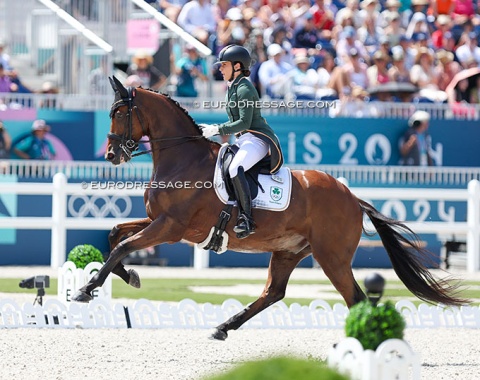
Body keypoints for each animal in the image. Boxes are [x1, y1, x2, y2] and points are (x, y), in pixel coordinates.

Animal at [73, 76, 466, 338]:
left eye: (119, 113)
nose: (111, 155)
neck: (182, 158)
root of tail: (352, 197)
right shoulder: (158, 220)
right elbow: (115, 235)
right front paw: (130, 276)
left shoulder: (172, 227)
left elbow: (123, 245)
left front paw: (86, 289)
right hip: (289, 251)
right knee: (273, 292)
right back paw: (223, 327)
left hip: (332, 256)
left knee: (354, 298)